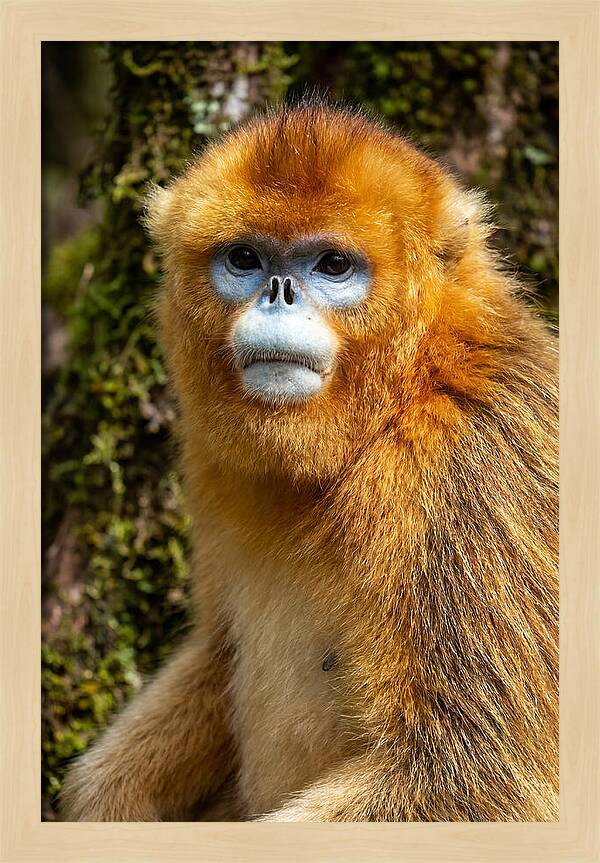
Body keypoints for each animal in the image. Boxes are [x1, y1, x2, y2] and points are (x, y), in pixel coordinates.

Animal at [60, 102, 558, 822]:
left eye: (332, 265)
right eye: (244, 258)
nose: (278, 291)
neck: (401, 401)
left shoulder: (476, 465)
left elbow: (478, 778)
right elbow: (218, 652)